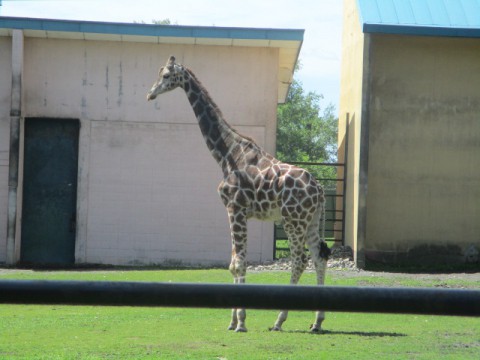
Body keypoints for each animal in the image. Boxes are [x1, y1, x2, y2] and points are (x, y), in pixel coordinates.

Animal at [146, 54, 330, 334]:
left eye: (166, 75)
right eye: (159, 73)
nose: (150, 94)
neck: (227, 153)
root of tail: (319, 190)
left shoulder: (236, 209)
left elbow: (239, 263)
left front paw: (241, 321)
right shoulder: (233, 212)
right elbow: (233, 263)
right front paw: (232, 321)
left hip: (293, 220)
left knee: (300, 261)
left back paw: (279, 320)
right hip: (311, 221)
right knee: (319, 258)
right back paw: (316, 322)